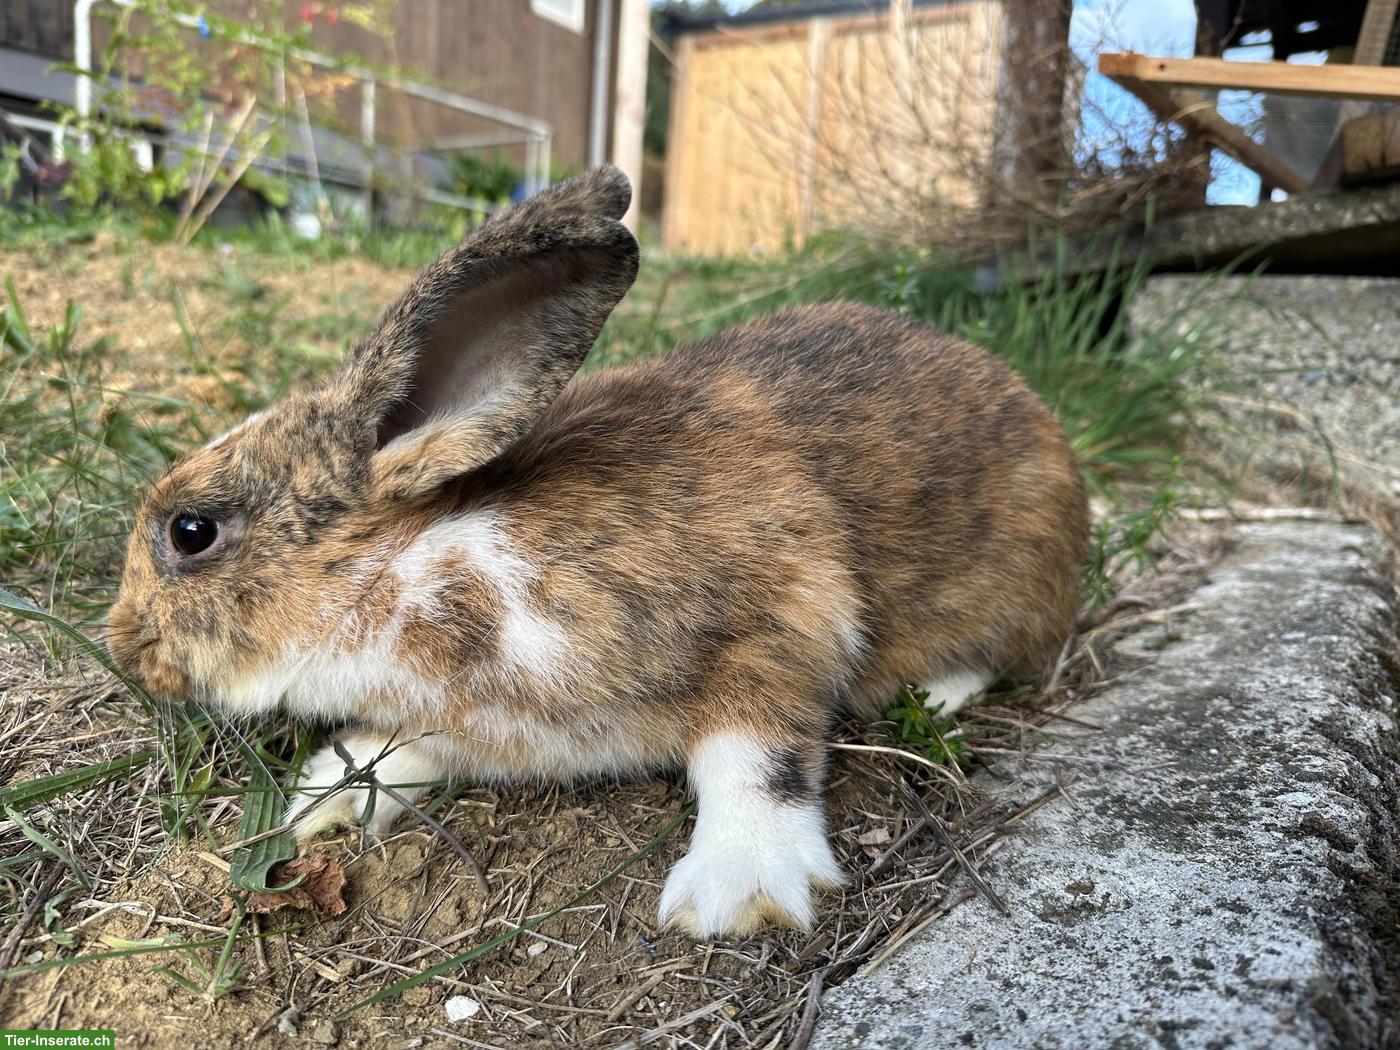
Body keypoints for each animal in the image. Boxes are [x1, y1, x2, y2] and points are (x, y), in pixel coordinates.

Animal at [106, 166, 1088, 938]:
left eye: (190, 532)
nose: (125, 648)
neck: (403, 571)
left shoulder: (783, 614)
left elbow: (754, 753)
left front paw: (736, 891)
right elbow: (401, 751)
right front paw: (329, 795)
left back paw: (938, 693)